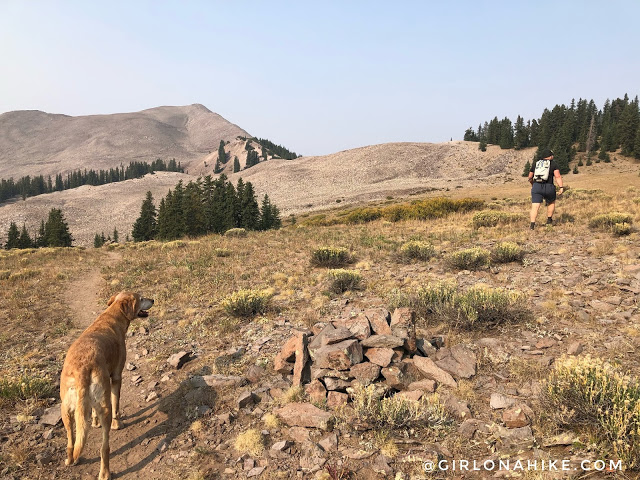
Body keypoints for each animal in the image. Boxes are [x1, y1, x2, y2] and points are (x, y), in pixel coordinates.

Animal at [60, 290, 155, 480]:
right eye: (141, 298)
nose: (153, 300)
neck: (112, 316)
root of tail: (81, 370)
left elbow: (91, 413)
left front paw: (94, 422)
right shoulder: (117, 377)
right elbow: (117, 404)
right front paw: (118, 423)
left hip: (65, 411)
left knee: (71, 442)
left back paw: (71, 460)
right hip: (105, 408)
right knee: (104, 447)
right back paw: (105, 473)